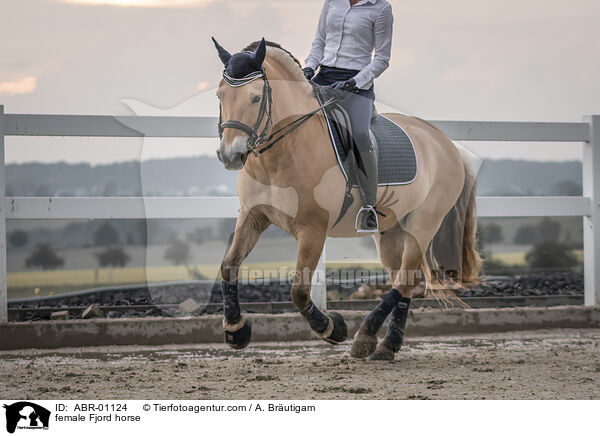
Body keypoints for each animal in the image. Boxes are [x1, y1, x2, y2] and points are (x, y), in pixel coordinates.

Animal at [213, 38, 480, 362]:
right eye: (220, 95)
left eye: (254, 98)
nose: (230, 155)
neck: (281, 153)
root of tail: (446, 143)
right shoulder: (253, 216)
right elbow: (229, 265)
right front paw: (236, 330)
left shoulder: (313, 230)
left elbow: (299, 291)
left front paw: (332, 328)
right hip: (390, 231)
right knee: (407, 282)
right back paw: (387, 345)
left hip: (423, 224)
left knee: (405, 280)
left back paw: (365, 337)